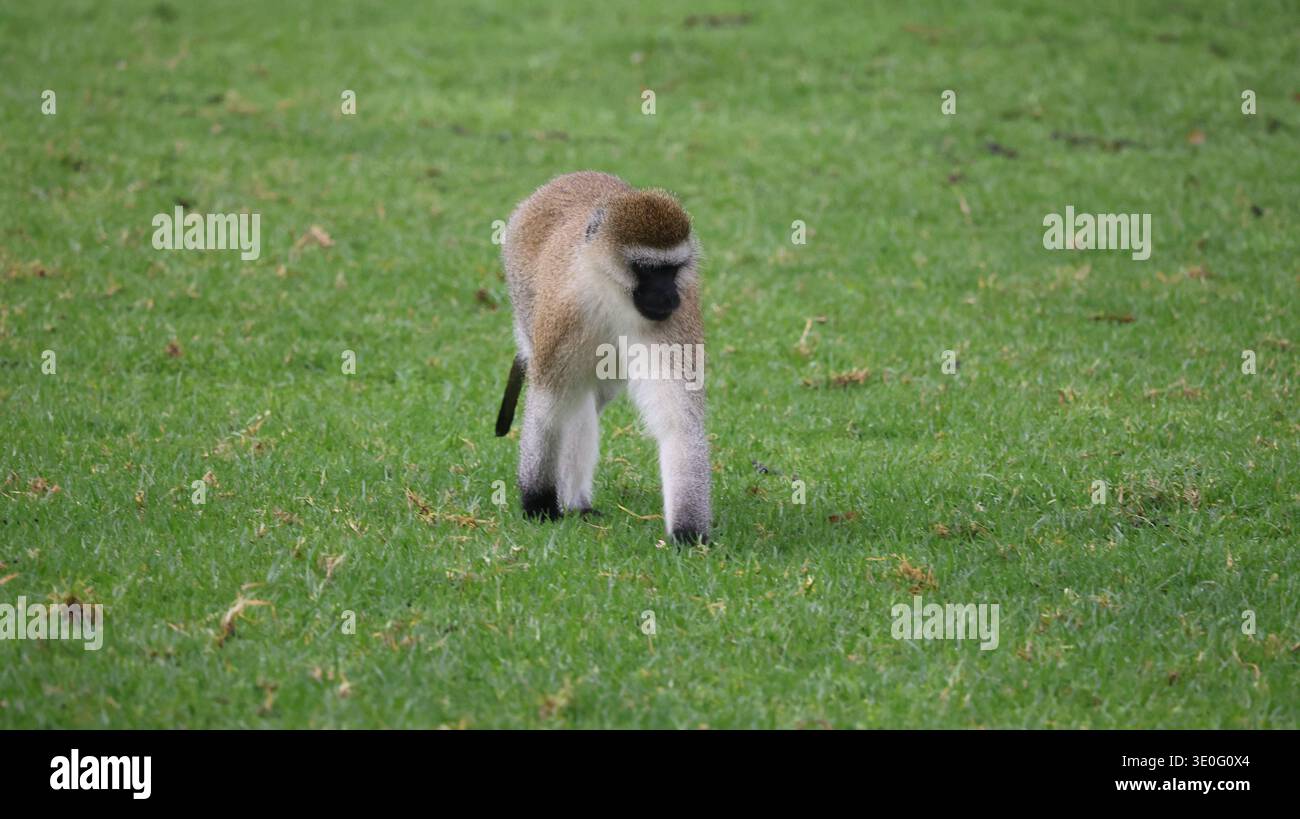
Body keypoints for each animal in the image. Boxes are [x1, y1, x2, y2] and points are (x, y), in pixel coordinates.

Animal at [495, 171, 711, 544]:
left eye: (672, 270)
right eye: (646, 269)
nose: (669, 296)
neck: (612, 294)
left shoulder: (673, 322)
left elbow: (678, 421)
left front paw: (688, 533)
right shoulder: (564, 315)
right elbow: (549, 406)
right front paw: (538, 504)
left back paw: (576, 501)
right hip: (522, 294)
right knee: (574, 400)